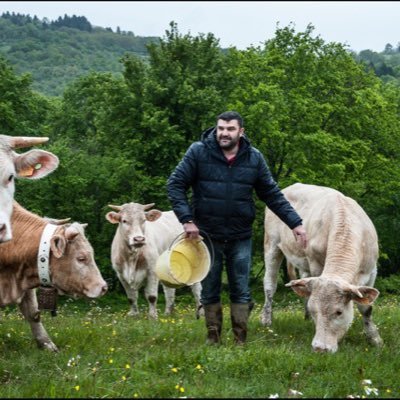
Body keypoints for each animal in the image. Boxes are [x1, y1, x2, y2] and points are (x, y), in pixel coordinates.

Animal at [260, 184, 382, 354]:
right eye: (315, 310)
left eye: (339, 312)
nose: (320, 348)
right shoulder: (316, 266)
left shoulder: (371, 271)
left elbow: (366, 308)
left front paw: (375, 339)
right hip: (271, 243)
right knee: (270, 284)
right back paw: (266, 320)